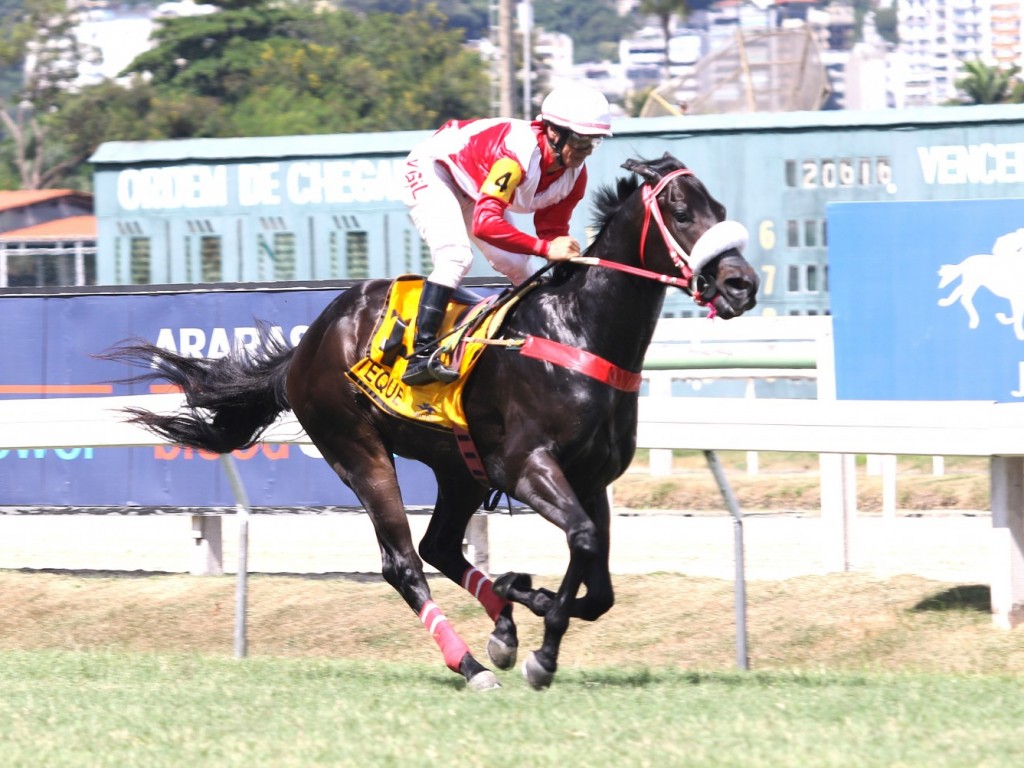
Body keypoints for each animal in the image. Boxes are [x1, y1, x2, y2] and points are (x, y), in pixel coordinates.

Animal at [105, 154, 761, 692]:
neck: (578, 332)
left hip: (460, 468)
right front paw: (542, 649)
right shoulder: (528, 467)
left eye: (720, 210)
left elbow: (597, 585)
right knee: (404, 563)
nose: (742, 284)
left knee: (439, 545)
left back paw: (502, 622)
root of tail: (308, 344)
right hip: (357, 448)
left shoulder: (591, 478)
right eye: (681, 211)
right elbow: (581, 542)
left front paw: (529, 605)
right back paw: (470, 663)